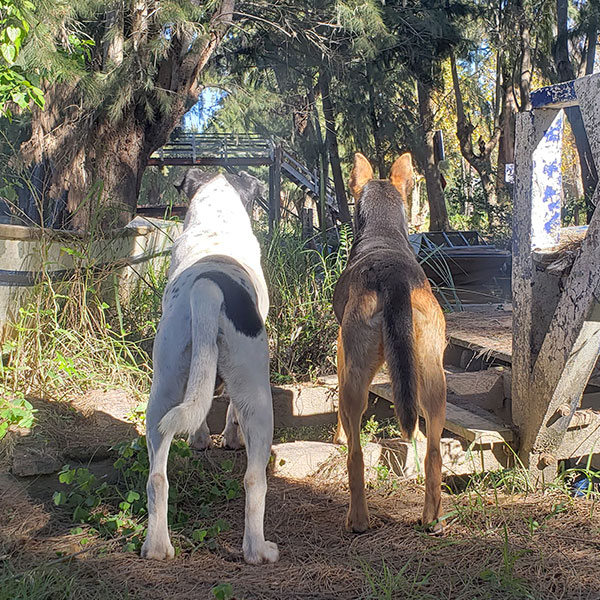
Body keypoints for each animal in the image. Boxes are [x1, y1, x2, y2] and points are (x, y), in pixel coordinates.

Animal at [141, 169, 278, 564]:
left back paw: (157, 547)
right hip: (258, 396)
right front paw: (230, 438)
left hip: (162, 391)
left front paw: (201, 439)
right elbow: (230, 413)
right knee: (254, 480)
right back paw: (259, 551)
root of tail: (208, 288)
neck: (216, 224)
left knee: (157, 477)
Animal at [332, 152, 446, 532]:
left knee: (355, 456)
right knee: (434, 454)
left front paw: (338, 435)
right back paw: (431, 519)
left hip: (356, 380)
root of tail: (392, 276)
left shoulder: (342, 354)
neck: (382, 233)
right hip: (433, 378)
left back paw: (357, 518)